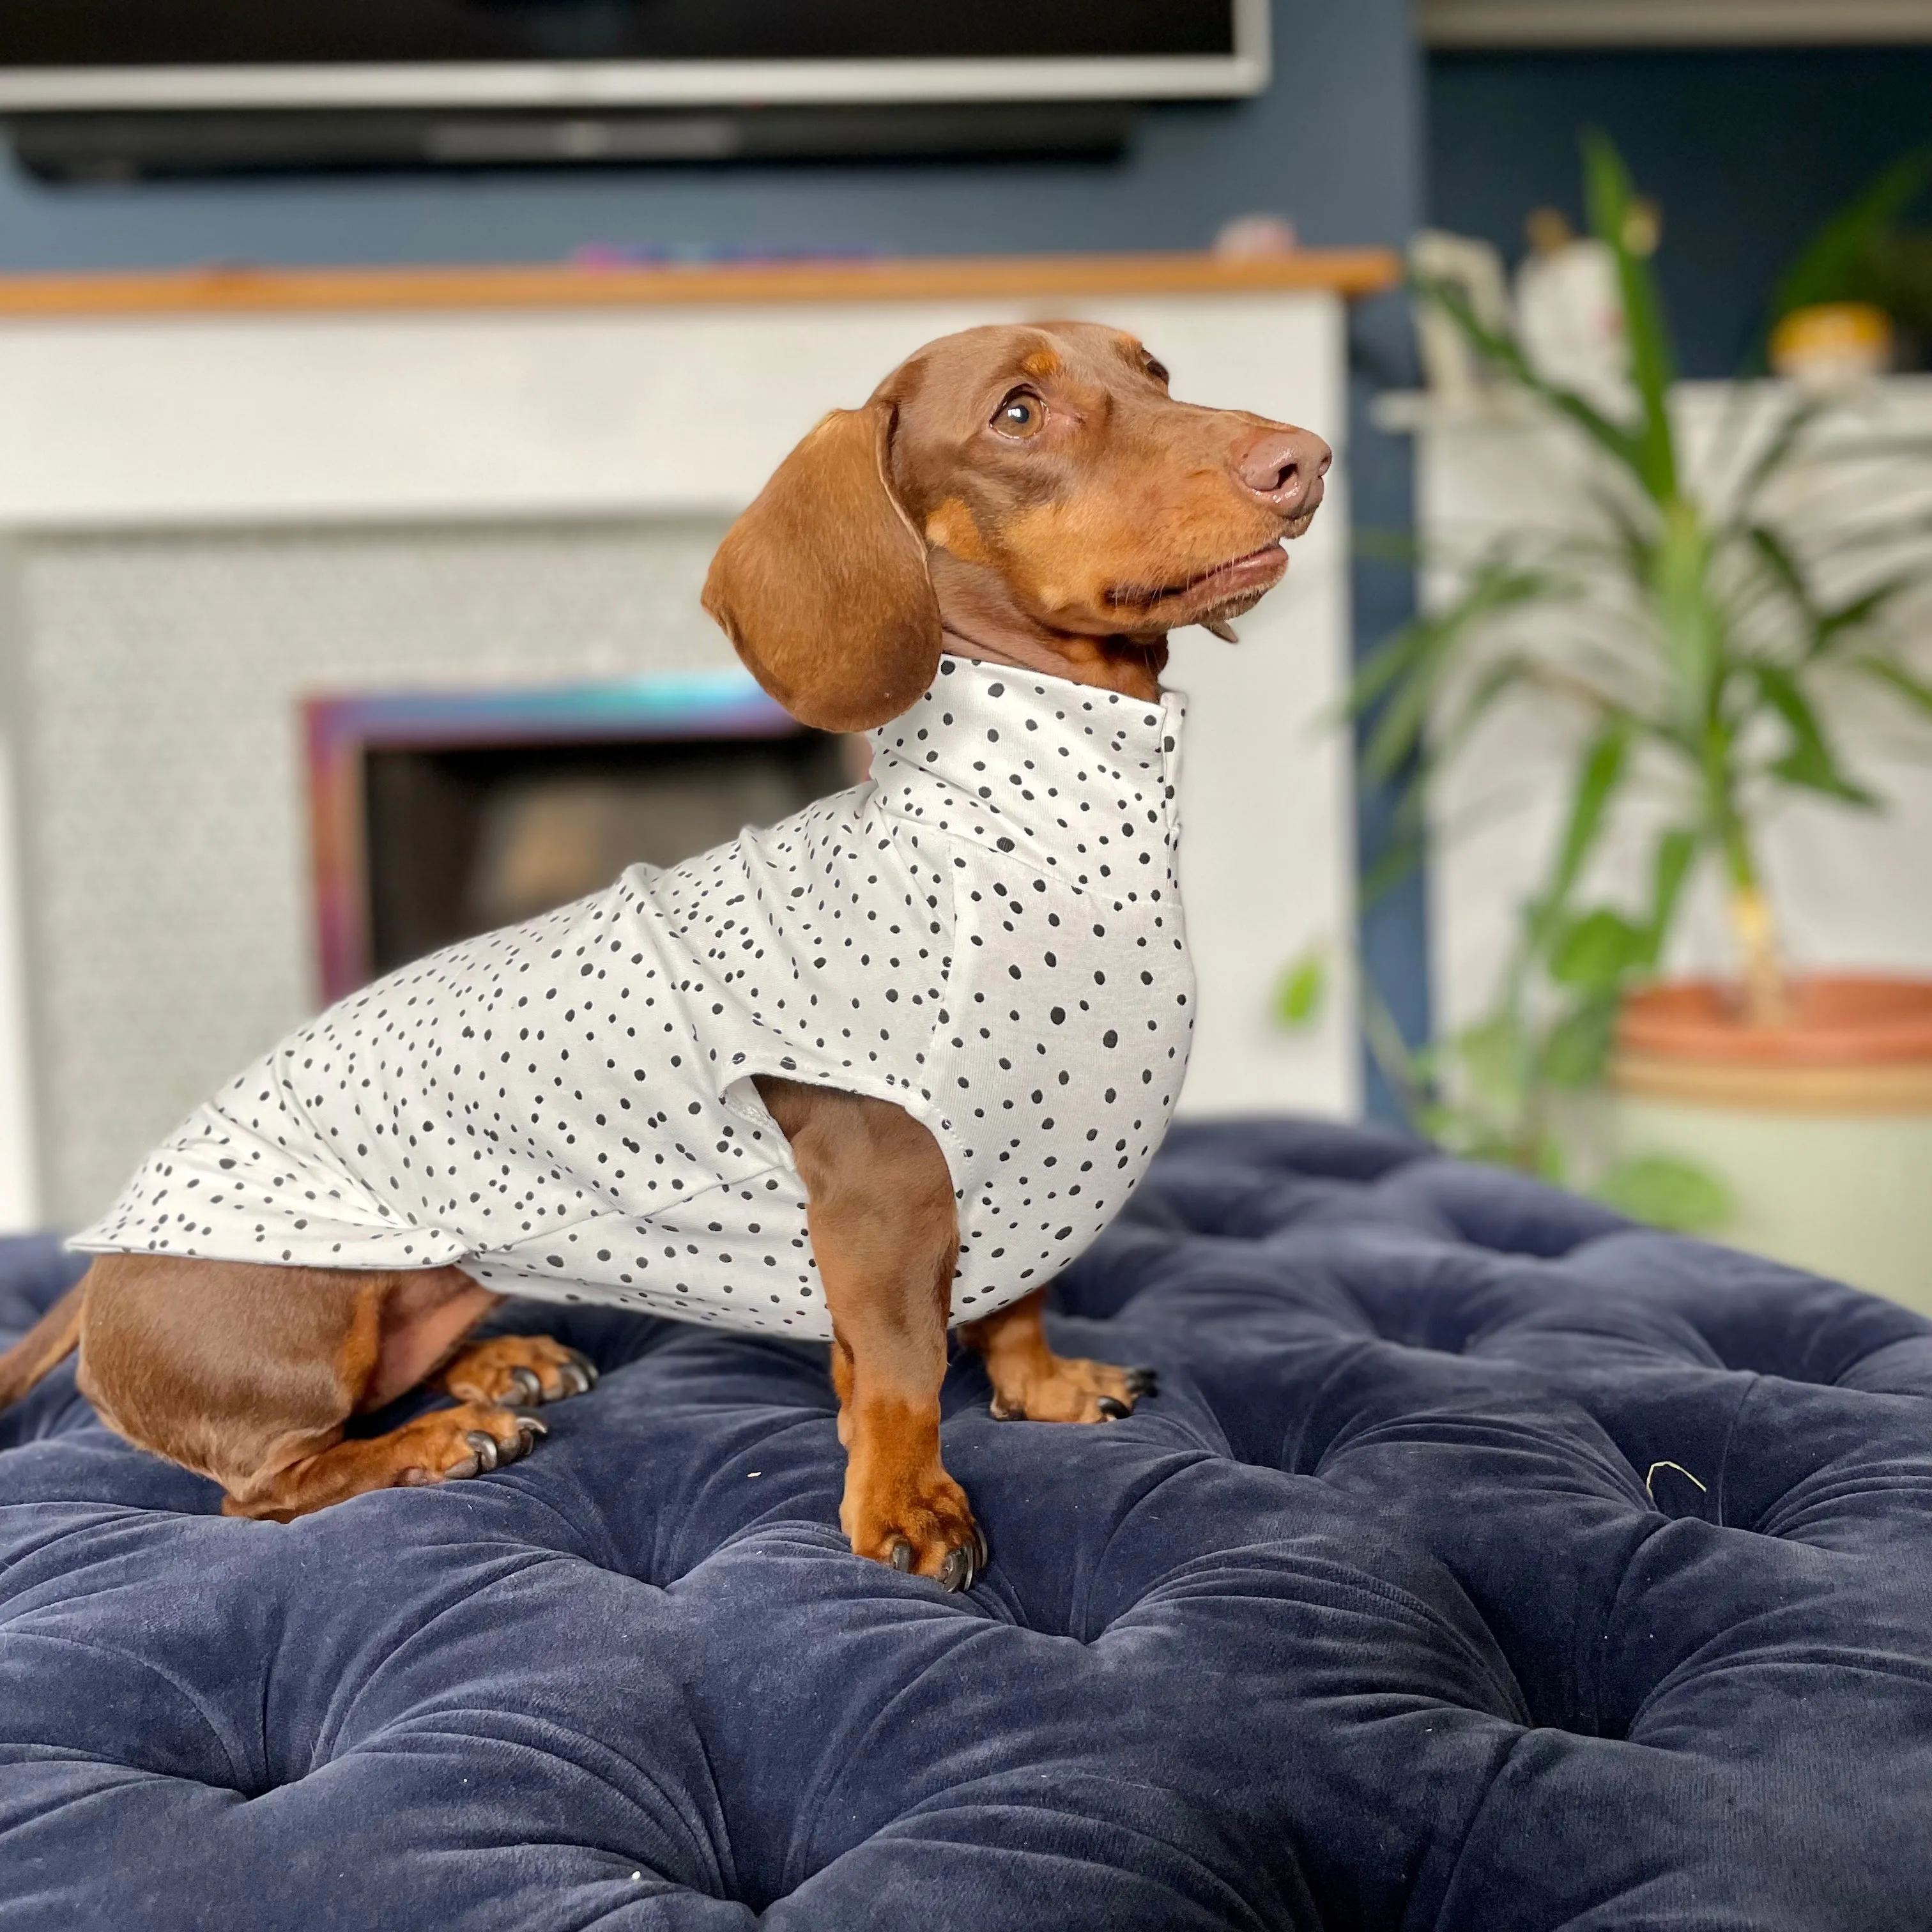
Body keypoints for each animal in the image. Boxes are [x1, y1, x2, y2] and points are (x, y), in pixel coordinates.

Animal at [0, 320, 1329, 1584]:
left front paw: (1044, 1385)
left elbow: (1014, 1306)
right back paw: (440, 1438)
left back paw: (500, 1364)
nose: (1304, 459)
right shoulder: (885, 1188)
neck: (1033, 813)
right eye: (1017, 410)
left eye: (1157, 369)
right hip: (298, 1331)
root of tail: (99, 1262)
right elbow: (902, 1365)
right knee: (270, 1481)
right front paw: (903, 1500)